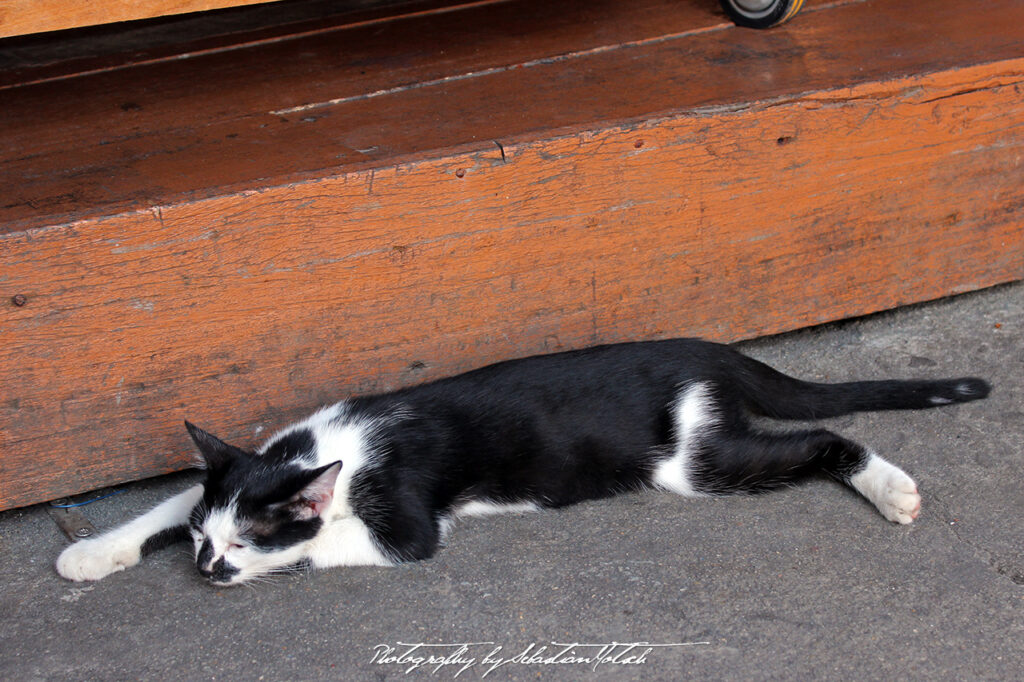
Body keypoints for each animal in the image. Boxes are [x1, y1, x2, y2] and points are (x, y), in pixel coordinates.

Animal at [58, 339, 991, 585]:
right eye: (209, 540)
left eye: (248, 540)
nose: (209, 569)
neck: (325, 451)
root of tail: (709, 347)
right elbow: (168, 502)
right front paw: (93, 552)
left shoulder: (405, 524)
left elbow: (330, 540)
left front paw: (282, 557)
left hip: (693, 456)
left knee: (829, 442)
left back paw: (892, 489)